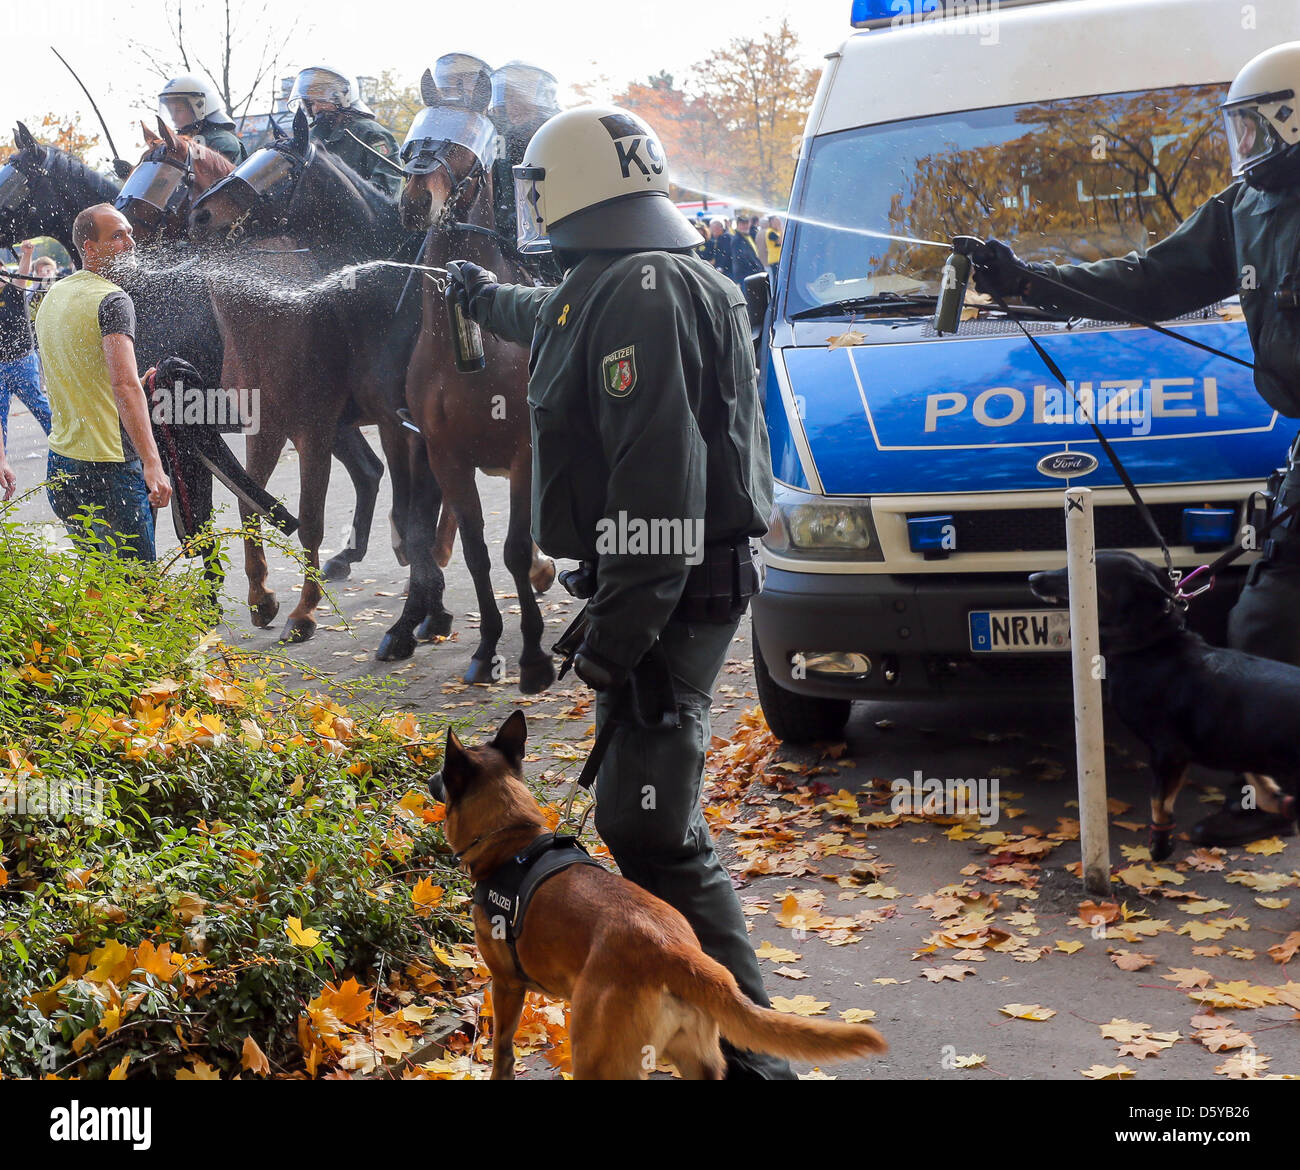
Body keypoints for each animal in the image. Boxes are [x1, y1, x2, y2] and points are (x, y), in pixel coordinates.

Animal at [379, 125, 556, 696]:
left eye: (461, 144)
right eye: (414, 138)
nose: (416, 200)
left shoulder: (525, 454)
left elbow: (514, 550)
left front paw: (533, 657)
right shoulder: (445, 456)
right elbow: (477, 551)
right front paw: (486, 648)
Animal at [431, 707, 889, 1081]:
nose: (432, 778)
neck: (513, 838)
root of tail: (674, 952)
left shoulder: (505, 984)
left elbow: (502, 1050)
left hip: (597, 1059)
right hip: (697, 1059)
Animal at [1029, 548, 1294, 857]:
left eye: (1084, 570)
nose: (1032, 578)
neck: (1149, 643)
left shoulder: (1168, 752)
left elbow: (1159, 800)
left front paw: (1160, 842)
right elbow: (1257, 778)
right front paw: (1272, 796)